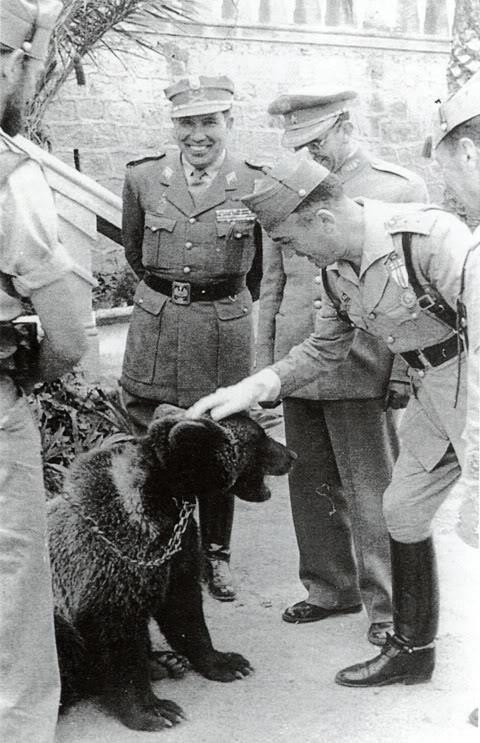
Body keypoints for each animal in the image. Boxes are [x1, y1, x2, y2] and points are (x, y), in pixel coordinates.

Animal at [49, 404, 296, 728]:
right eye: (260, 438)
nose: (292, 455)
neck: (164, 500)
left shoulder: (177, 550)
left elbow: (185, 610)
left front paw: (227, 662)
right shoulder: (110, 564)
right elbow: (117, 636)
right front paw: (154, 710)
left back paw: (165, 661)